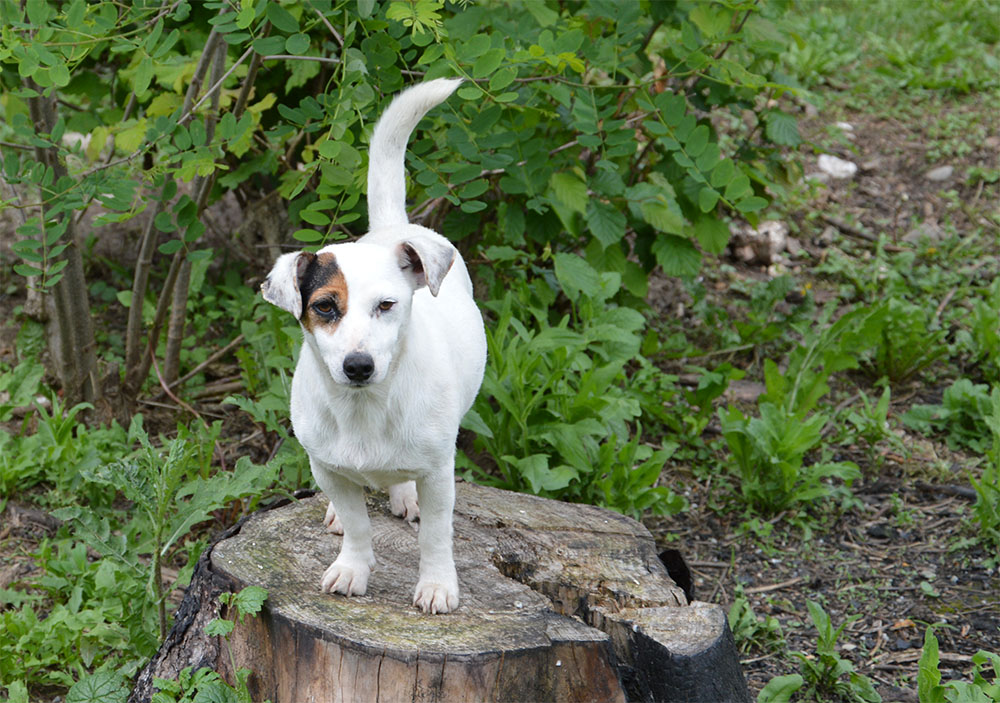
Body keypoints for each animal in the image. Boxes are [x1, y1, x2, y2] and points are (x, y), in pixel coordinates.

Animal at [262, 80, 488, 612]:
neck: (364, 409)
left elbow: (437, 534)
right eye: (325, 307)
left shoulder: (439, 471)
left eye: (387, 305)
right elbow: (358, 524)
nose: (358, 366)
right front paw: (352, 567)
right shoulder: (326, 466)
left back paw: (406, 496)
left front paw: (437, 584)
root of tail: (393, 229)